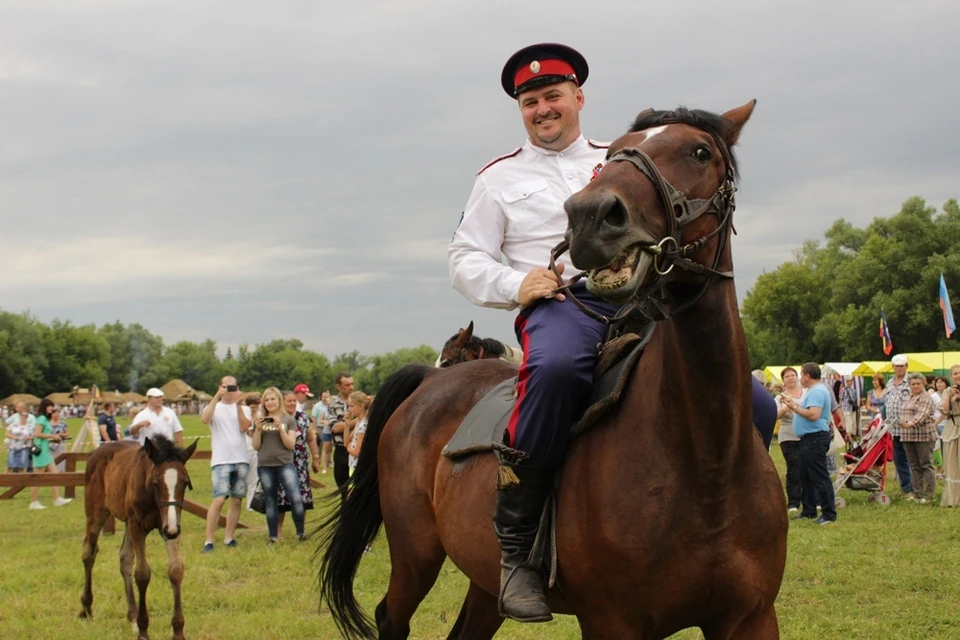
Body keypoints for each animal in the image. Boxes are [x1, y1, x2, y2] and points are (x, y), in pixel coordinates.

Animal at [81, 436, 198, 640]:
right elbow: (142, 573)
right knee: (89, 551)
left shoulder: (169, 525)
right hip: (97, 513)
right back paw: (86, 608)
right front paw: (143, 630)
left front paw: (178, 630)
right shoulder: (138, 526)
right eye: (156, 482)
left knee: (125, 558)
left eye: (185, 482)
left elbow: (175, 569)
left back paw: (132, 615)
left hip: (129, 522)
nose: (172, 530)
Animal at [318, 101, 784, 640]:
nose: (589, 216)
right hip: (415, 554)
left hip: (483, 581)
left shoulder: (750, 617)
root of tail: (429, 384)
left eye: (700, 151)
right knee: (390, 617)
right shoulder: (612, 623)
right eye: (616, 152)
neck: (705, 463)